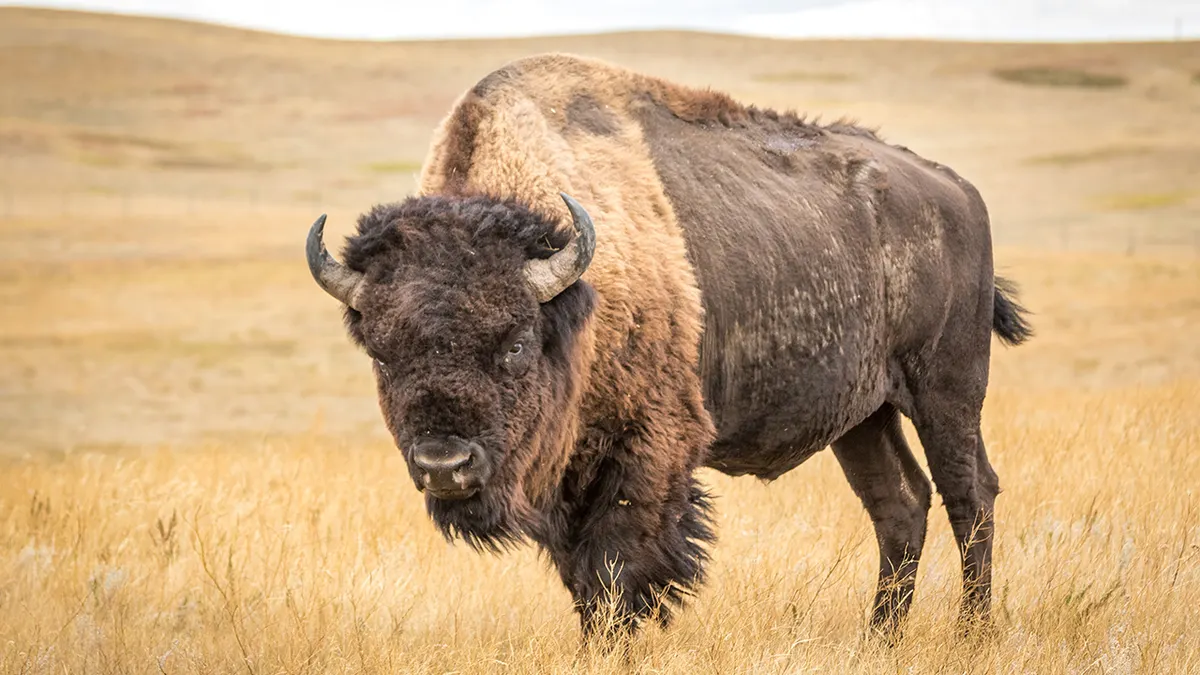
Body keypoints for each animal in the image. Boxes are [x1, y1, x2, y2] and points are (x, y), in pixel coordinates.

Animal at [305, 53, 1032, 640]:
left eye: (513, 342)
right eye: (381, 352)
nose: (444, 464)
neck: (573, 297)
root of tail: (957, 190)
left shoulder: (647, 448)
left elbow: (617, 570)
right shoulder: (570, 476)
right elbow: (584, 579)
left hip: (945, 389)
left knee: (970, 494)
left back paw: (970, 632)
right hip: (863, 416)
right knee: (900, 503)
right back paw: (880, 638)